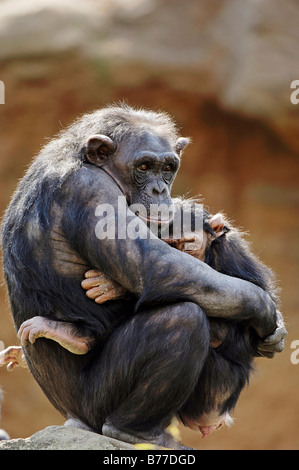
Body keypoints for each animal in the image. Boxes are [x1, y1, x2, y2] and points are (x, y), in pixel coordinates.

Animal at [1, 103, 288, 448]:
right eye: (144, 166)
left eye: (167, 168)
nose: (159, 188)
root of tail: (76, 420)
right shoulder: (91, 188)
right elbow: (155, 267)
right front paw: (267, 311)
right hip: (97, 403)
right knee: (183, 318)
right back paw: (133, 428)